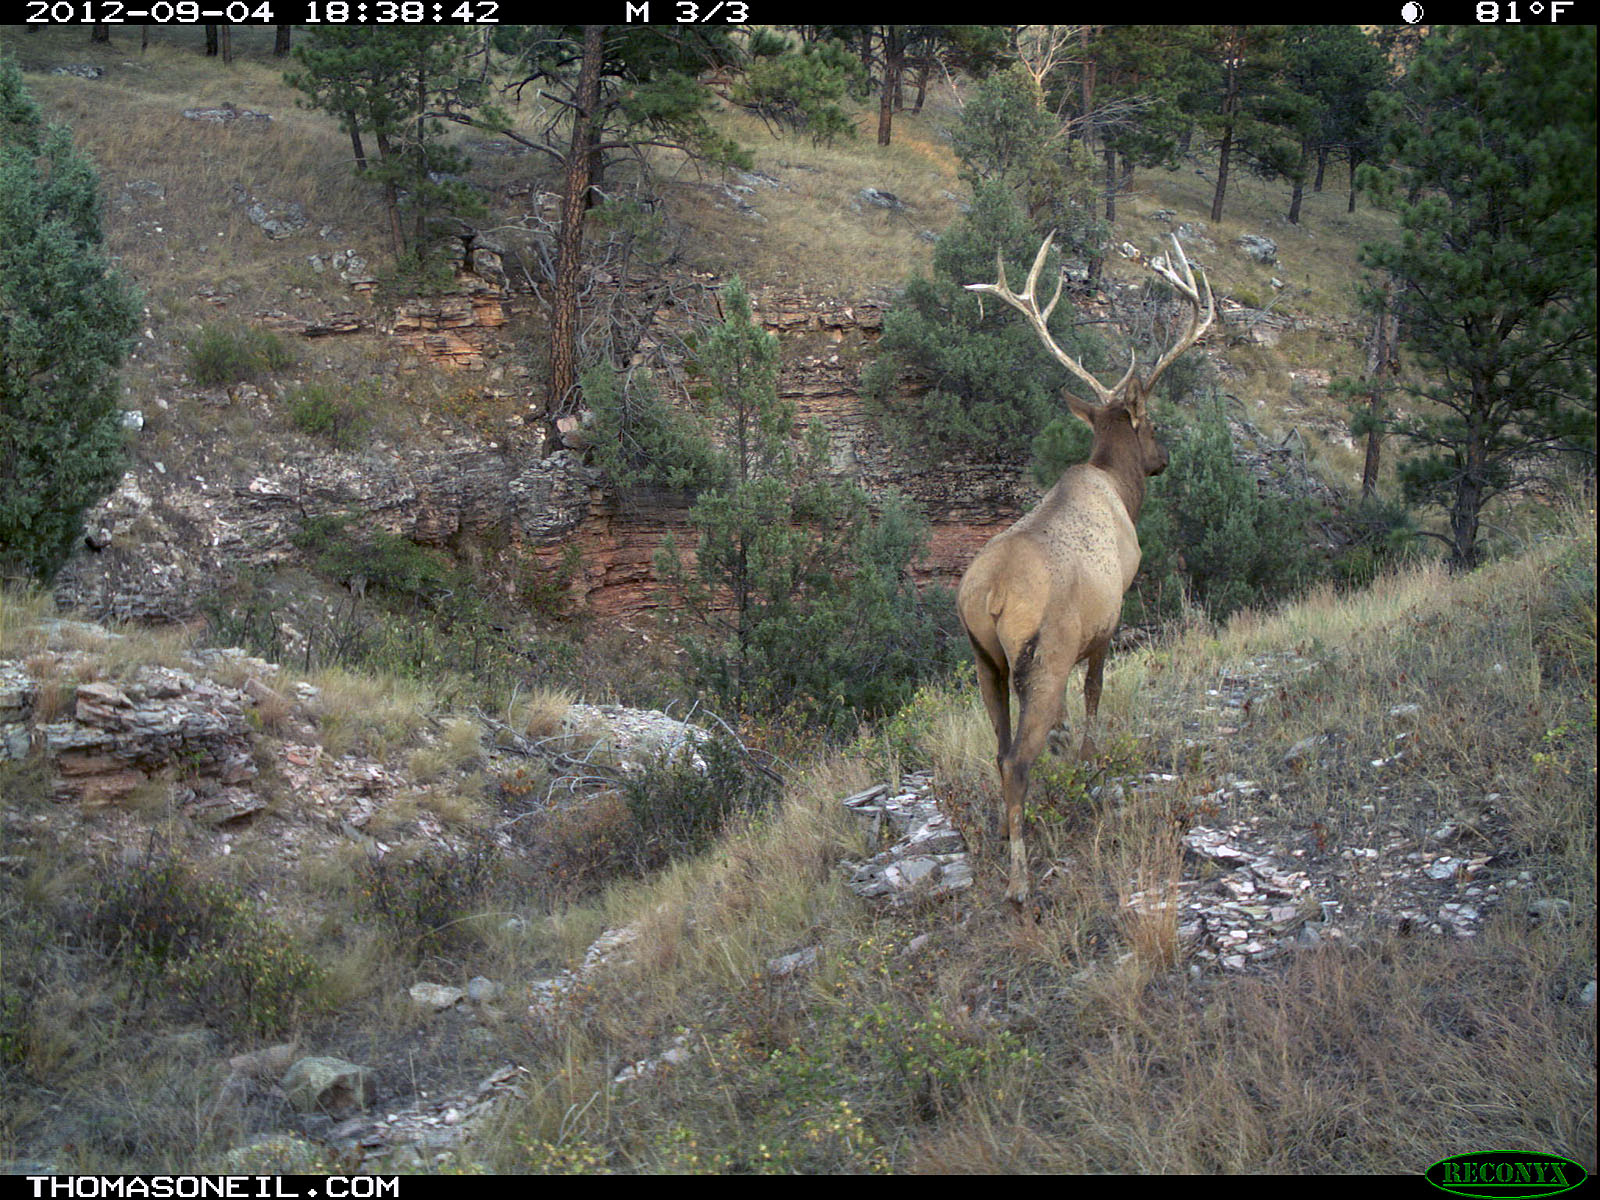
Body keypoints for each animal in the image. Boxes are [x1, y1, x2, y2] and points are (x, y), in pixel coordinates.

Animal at [957, 233, 1214, 907]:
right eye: (1152, 423)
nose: (1164, 457)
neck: (1119, 491)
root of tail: (988, 595)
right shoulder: (1110, 616)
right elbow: (1096, 692)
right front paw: (1092, 758)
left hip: (984, 660)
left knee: (997, 747)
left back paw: (1003, 834)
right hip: (1043, 654)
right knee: (1017, 761)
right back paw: (1020, 882)